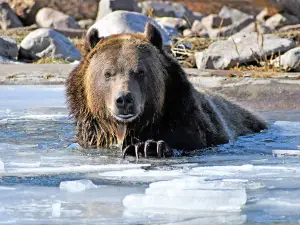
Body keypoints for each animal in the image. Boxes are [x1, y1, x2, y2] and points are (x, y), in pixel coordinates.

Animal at [65, 22, 264, 158]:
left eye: (140, 71)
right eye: (108, 73)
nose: (124, 100)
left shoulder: (187, 121)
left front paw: (149, 147)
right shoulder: (93, 133)